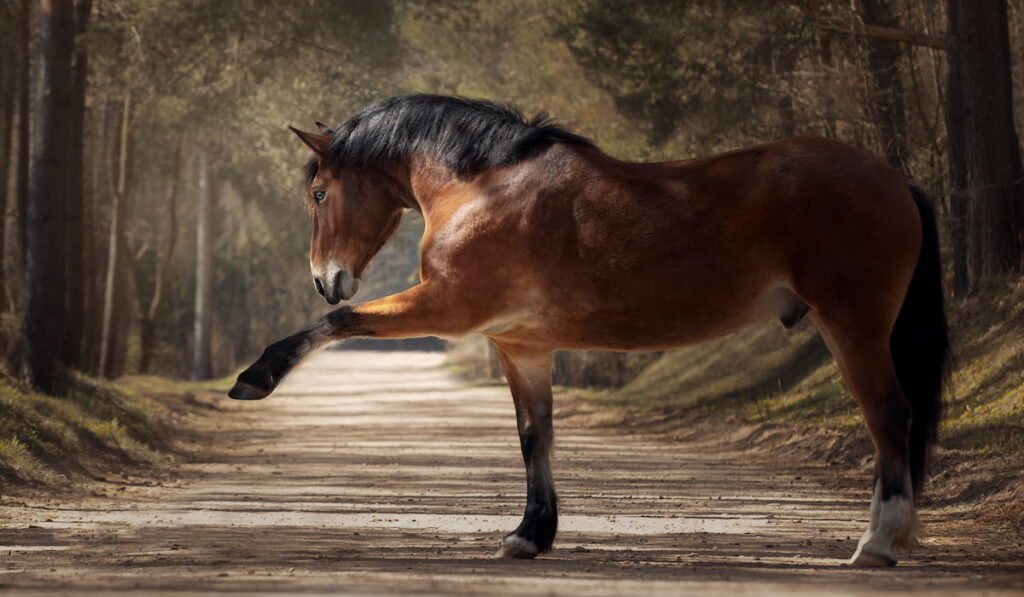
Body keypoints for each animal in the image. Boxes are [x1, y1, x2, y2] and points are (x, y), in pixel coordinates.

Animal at [228, 92, 946, 565]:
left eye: (319, 193)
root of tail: (895, 179)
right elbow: (534, 437)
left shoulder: (446, 307)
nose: (326, 277)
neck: (483, 188)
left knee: (889, 416)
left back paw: (878, 543)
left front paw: (255, 377)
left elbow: (337, 322)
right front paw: (530, 534)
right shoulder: (521, 345)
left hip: (853, 324)